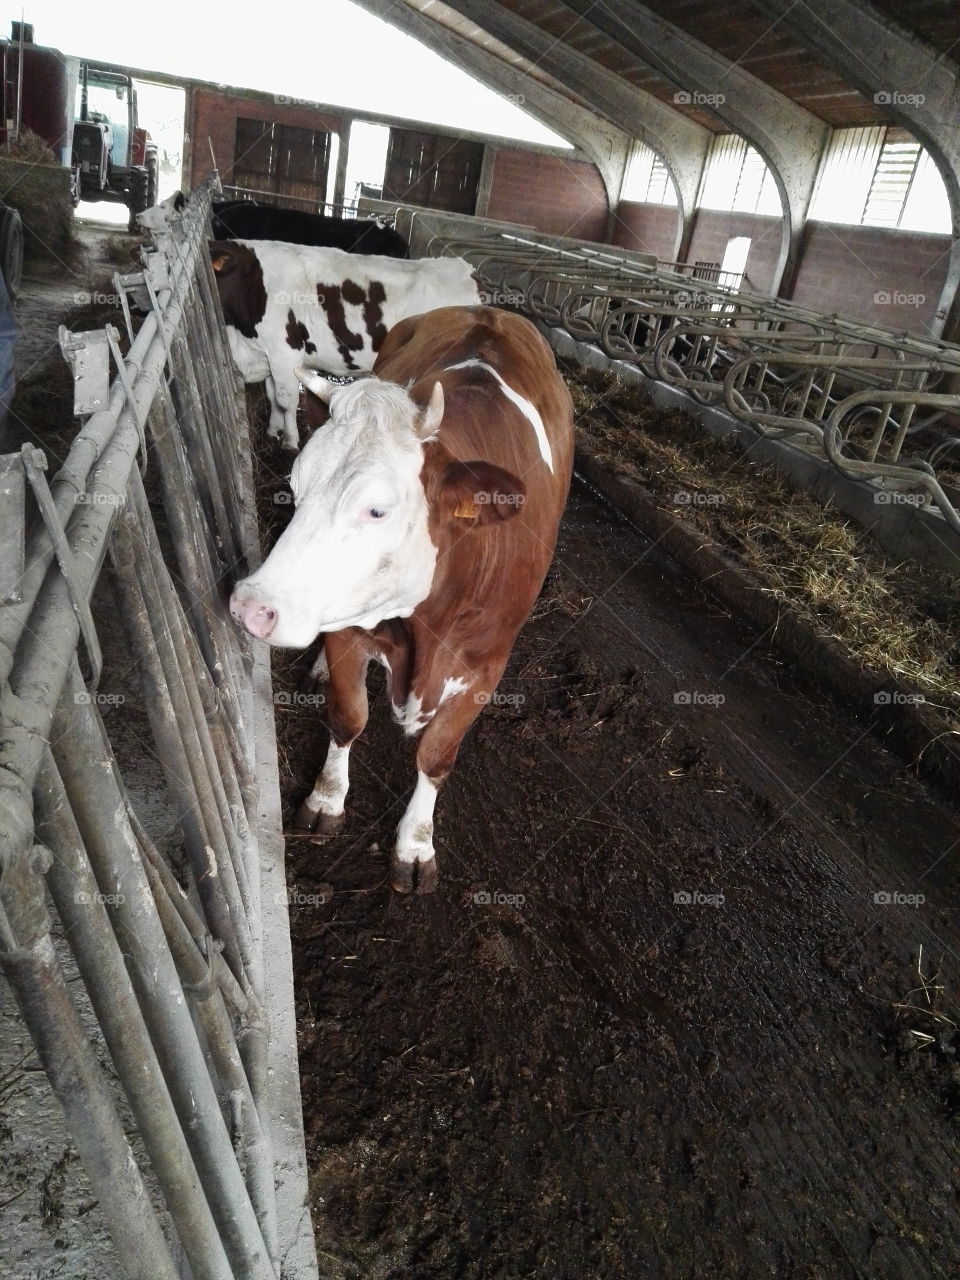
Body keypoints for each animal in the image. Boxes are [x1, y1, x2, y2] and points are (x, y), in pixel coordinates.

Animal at [209, 239, 481, 450]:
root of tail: (467, 270)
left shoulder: (285, 351)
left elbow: (286, 400)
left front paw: (290, 442)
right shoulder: (265, 354)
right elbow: (272, 394)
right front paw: (272, 431)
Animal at [229, 305, 574, 893]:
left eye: (377, 510)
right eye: (295, 489)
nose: (253, 606)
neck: (423, 635)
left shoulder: (486, 667)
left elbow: (436, 757)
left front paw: (415, 844)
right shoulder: (349, 629)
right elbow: (348, 715)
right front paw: (326, 799)